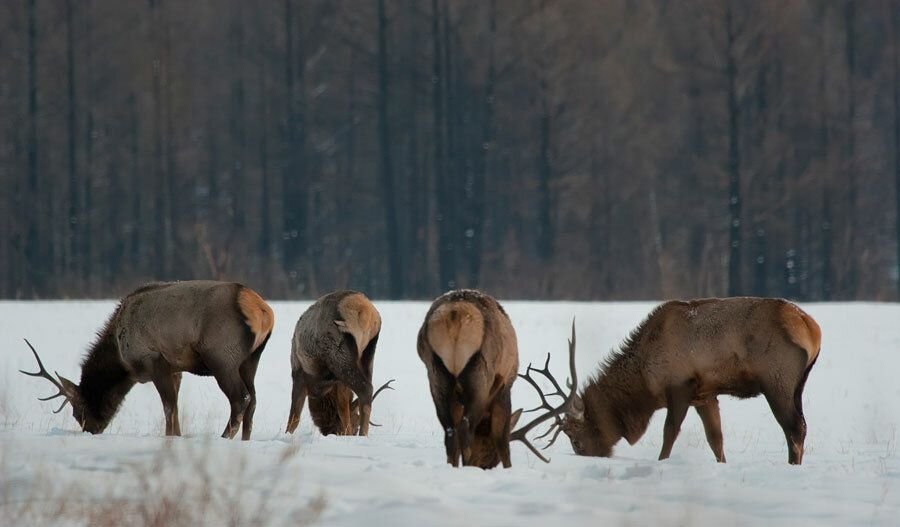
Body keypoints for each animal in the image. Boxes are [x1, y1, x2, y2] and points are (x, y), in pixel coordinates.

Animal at [20, 280, 274, 442]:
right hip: (251, 359)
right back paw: (245, 440)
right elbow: (175, 407)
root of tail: (263, 311)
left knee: (241, 398)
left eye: (78, 411)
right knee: (253, 400)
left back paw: (224, 437)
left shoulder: (155, 360)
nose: (90, 430)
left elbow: (168, 407)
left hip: (222, 357)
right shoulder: (175, 368)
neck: (122, 359)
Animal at [284, 290, 392, 436]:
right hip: (368, 356)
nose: (354, 431)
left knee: (365, 388)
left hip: (338, 354)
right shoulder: (338, 381)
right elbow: (343, 406)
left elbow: (293, 418)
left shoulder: (299, 372)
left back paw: (362, 435)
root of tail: (365, 312)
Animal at [512, 300, 824, 464]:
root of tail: (813, 330)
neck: (644, 382)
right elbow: (716, 439)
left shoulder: (680, 385)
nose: (590, 458)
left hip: (777, 380)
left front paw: (661, 462)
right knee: (800, 426)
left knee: (795, 427)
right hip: (798, 384)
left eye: (577, 439)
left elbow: (669, 432)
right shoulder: (705, 394)